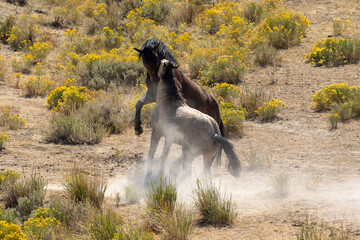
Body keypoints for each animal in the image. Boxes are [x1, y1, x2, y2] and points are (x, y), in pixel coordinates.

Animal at [134, 39, 225, 177]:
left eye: (154, 59)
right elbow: (139, 103)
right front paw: (138, 128)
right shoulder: (151, 95)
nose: (156, 82)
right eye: (144, 62)